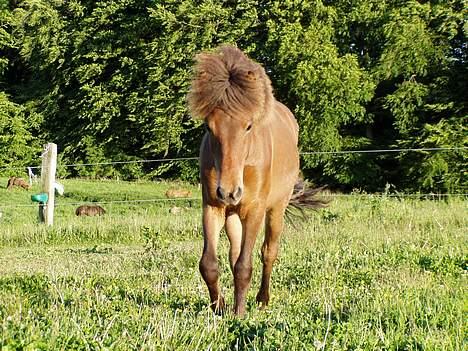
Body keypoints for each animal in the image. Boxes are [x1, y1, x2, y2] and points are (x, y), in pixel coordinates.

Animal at [186, 44, 326, 316]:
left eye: (248, 126)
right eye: (209, 127)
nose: (229, 191)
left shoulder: (255, 210)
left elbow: (244, 266)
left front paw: (239, 315)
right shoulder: (212, 206)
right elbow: (209, 264)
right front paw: (220, 307)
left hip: (276, 209)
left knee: (268, 252)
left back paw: (262, 300)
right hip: (232, 214)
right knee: (234, 252)